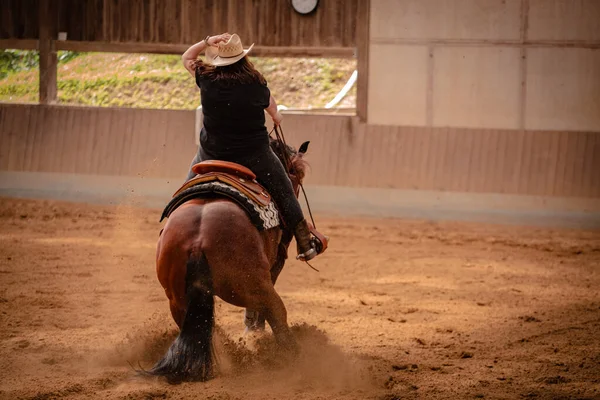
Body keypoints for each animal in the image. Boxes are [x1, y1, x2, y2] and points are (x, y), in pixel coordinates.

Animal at [146, 139, 310, 382]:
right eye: (296, 173)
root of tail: (198, 238)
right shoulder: (275, 264)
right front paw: (255, 331)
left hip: (177, 298)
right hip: (252, 287)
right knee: (276, 314)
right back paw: (295, 361)